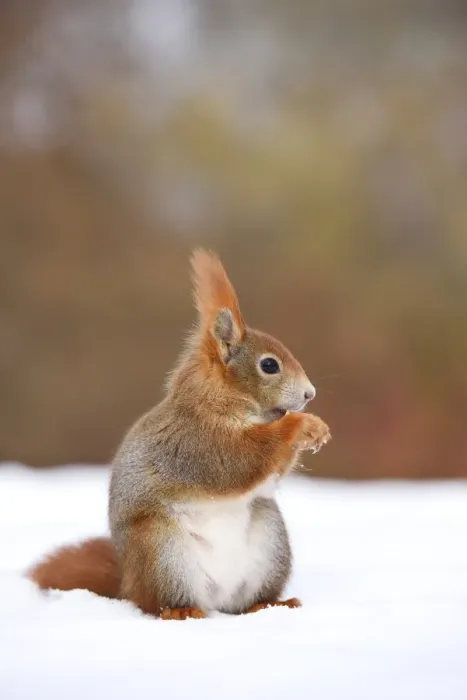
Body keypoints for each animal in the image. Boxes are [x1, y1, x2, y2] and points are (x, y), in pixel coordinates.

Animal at [29, 249, 331, 620]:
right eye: (269, 365)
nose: (309, 394)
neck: (218, 401)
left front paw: (315, 429)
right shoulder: (195, 442)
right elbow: (239, 461)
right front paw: (303, 425)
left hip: (271, 542)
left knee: (246, 603)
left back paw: (271, 603)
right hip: (162, 550)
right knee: (158, 603)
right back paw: (182, 611)